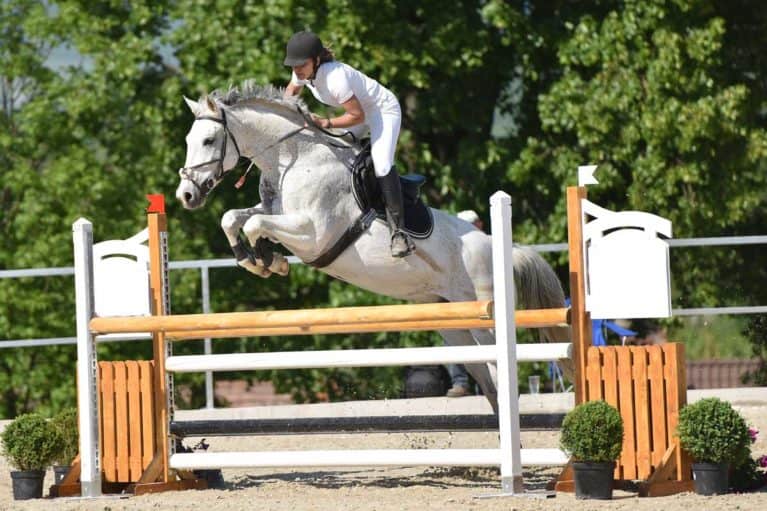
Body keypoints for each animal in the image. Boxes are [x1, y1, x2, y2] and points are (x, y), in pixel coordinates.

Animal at [176, 83, 568, 412]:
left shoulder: (313, 233)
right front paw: (257, 259)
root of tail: (500, 248)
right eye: (189, 140)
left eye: (209, 140)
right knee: (487, 382)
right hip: (453, 322)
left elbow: (255, 225)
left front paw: (268, 261)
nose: (186, 195)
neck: (296, 158)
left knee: (499, 371)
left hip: (484, 318)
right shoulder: (275, 212)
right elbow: (233, 218)